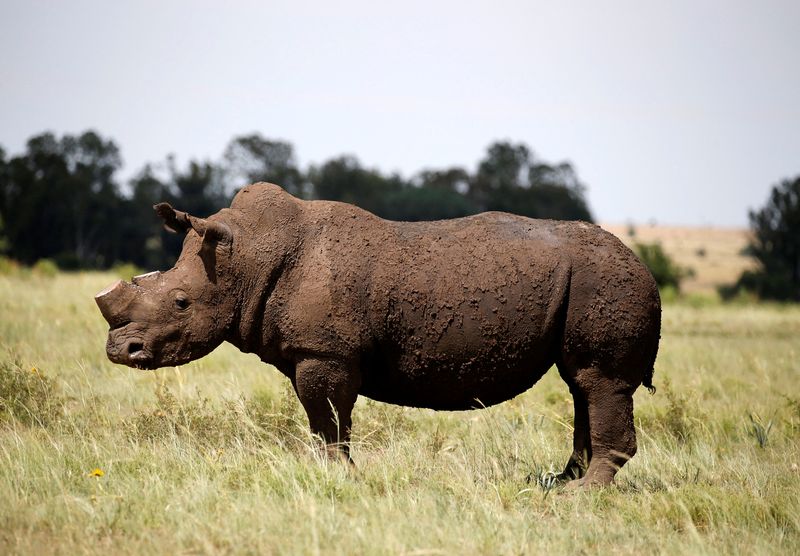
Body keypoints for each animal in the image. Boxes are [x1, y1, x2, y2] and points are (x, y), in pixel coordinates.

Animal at [94, 184, 660, 486]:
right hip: (592, 282)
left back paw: (579, 495)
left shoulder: (325, 352)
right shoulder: (316, 352)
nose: (121, 350)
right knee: (581, 385)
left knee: (599, 381)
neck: (248, 257)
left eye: (181, 303)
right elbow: (323, 422)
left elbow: (328, 420)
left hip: (605, 280)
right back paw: (555, 483)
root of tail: (642, 263)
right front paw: (333, 474)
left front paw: (337, 477)